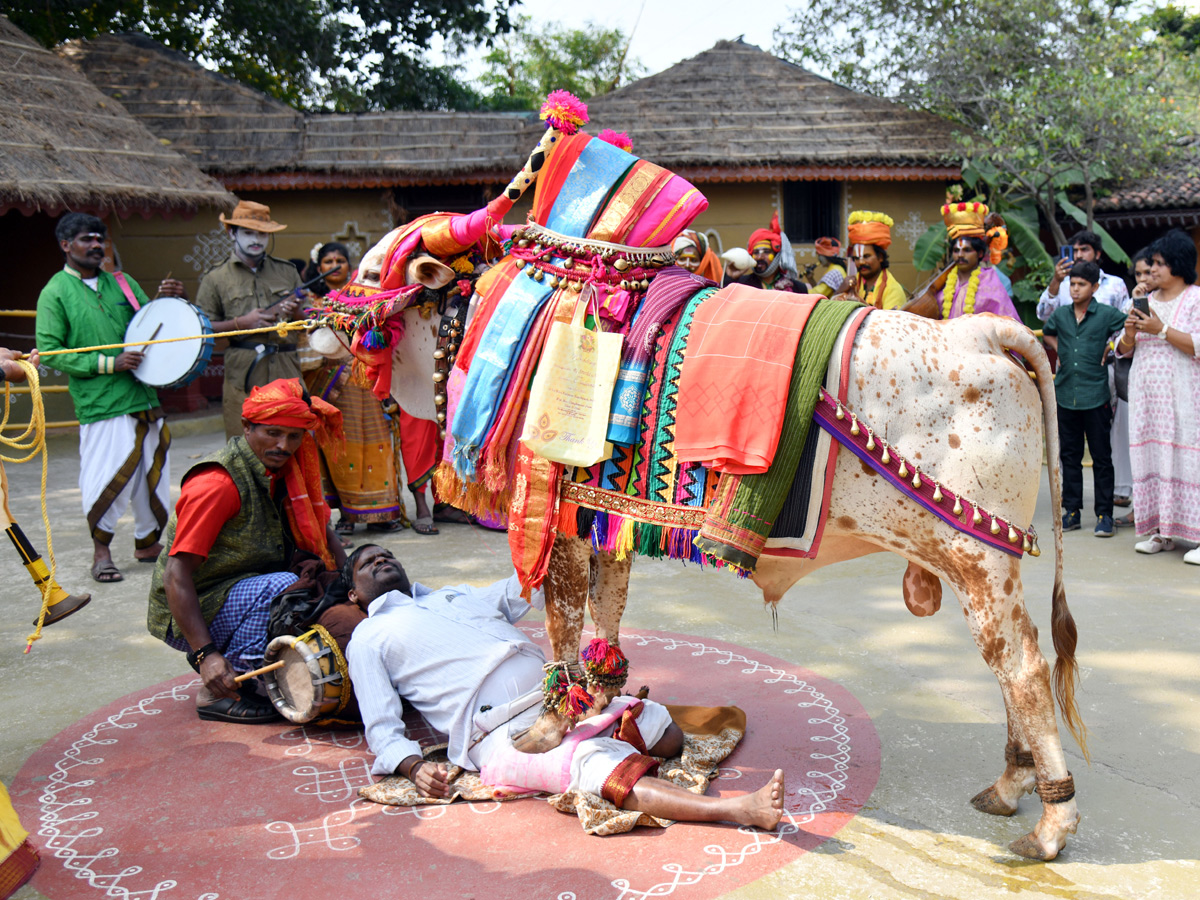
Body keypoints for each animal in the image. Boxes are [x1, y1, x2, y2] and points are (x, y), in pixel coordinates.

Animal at [328, 95, 1089, 864]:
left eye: (373, 268)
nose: (323, 318)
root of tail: (980, 333)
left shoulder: (555, 519)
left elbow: (562, 619)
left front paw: (546, 728)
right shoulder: (604, 520)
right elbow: (606, 610)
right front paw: (601, 702)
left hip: (976, 558)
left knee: (1022, 665)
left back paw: (1049, 820)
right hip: (982, 565)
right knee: (1009, 661)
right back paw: (1012, 783)